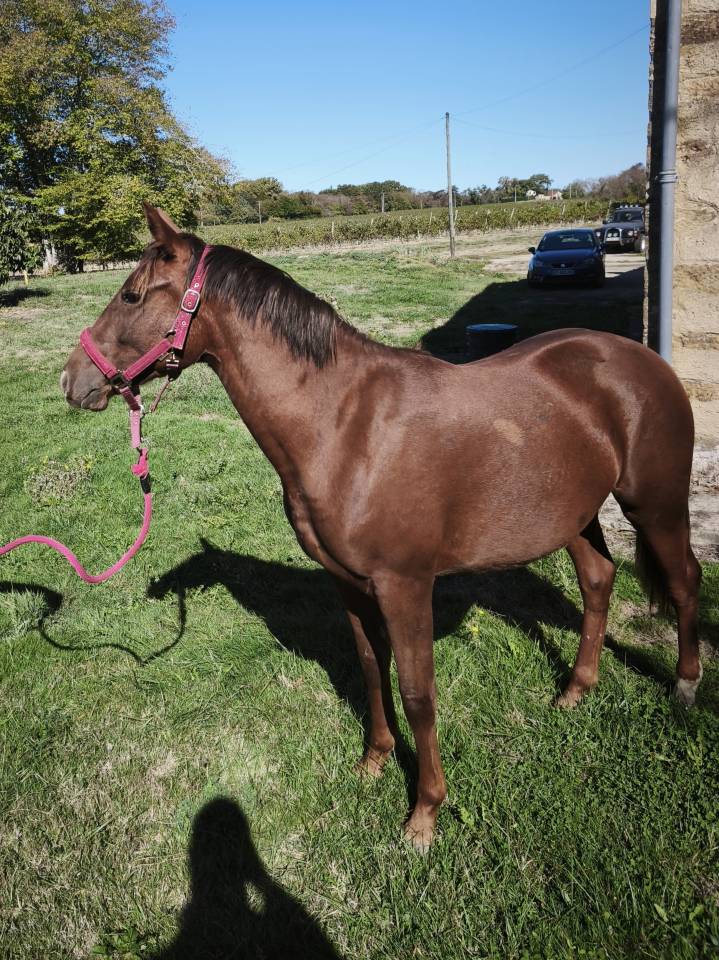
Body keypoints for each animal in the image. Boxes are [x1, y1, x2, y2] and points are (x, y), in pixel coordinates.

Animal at [61, 204, 702, 851]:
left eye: (132, 294)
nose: (72, 380)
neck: (345, 427)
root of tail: (643, 361)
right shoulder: (348, 581)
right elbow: (371, 668)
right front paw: (375, 759)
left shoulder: (405, 586)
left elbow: (419, 694)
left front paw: (424, 814)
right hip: (574, 514)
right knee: (598, 579)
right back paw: (575, 689)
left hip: (656, 506)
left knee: (683, 581)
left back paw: (684, 687)